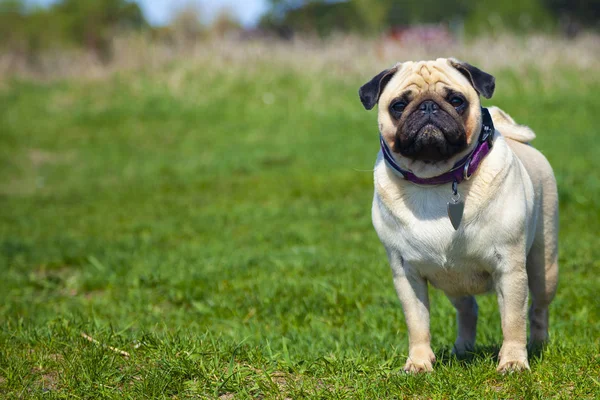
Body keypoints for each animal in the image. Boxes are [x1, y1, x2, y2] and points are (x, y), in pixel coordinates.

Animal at [356, 58, 556, 372]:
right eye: (399, 105)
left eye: (456, 100)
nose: (428, 106)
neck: (435, 179)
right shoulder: (406, 274)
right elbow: (417, 323)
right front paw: (419, 363)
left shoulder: (510, 268)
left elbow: (513, 320)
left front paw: (513, 361)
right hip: (454, 282)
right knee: (468, 309)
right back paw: (463, 348)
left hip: (543, 267)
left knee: (538, 308)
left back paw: (538, 344)